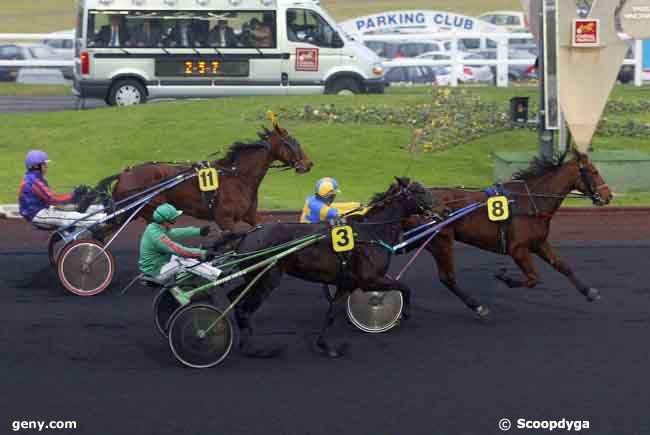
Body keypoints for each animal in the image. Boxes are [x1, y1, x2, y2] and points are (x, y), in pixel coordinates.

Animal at [93, 125, 312, 232]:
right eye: (291, 142)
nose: (308, 164)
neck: (238, 176)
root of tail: (124, 174)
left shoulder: (250, 216)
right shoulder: (225, 220)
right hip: (150, 210)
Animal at [223, 177, 440, 358]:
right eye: (420, 190)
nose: (441, 206)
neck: (371, 232)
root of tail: (247, 235)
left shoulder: (347, 284)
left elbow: (331, 314)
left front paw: (326, 346)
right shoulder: (370, 280)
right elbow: (404, 287)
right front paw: (405, 313)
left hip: (253, 278)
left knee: (235, 298)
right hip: (267, 279)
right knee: (244, 310)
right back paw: (255, 349)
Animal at [408, 151, 612, 316]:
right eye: (594, 172)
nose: (608, 196)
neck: (531, 202)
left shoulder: (539, 243)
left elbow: (563, 266)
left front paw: (589, 292)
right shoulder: (518, 249)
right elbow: (533, 278)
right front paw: (504, 277)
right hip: (441, 241)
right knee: (447, 278)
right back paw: (477, 306)